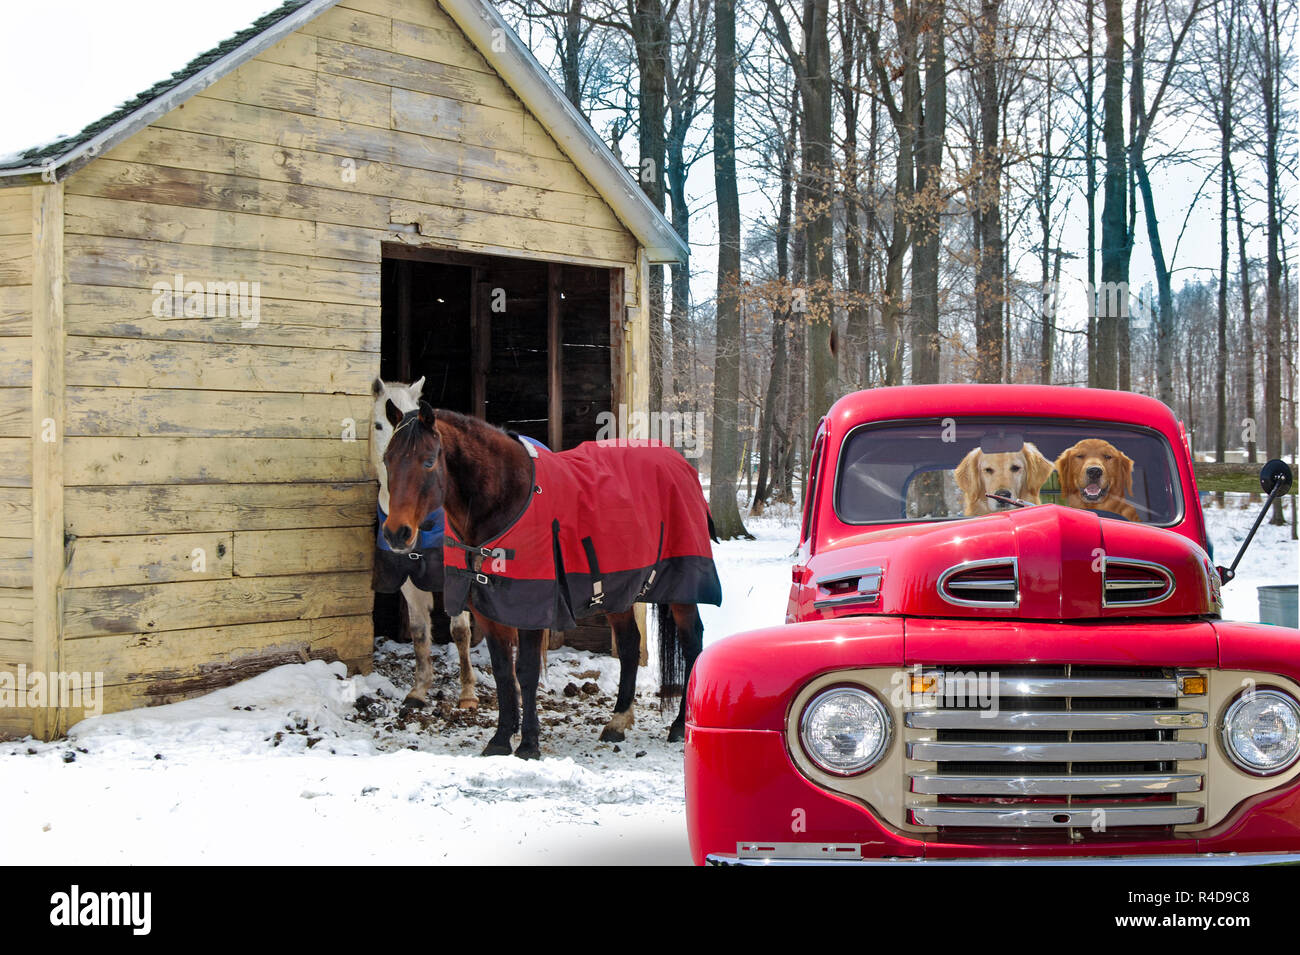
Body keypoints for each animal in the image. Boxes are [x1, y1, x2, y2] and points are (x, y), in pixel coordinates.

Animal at [371, 374, 478, 712]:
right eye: (379, 424)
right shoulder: (408, 578)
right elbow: (419, 632)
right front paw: (419, 689)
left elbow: (459, 631)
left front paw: (468, 694)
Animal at [379, 400, 717, 758]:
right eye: (387, 460)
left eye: (429, 461)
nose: (396, 533)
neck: (505, 499)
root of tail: (681, 464)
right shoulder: (488, 610)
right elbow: (503, 673)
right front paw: (500, 740)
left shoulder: (532, 609)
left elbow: (525, 672)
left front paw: (528, 744)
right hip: (617, 591)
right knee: (628, 646)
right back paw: (618, 722)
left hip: (681, 590)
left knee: (692, 643)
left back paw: (679, 726)